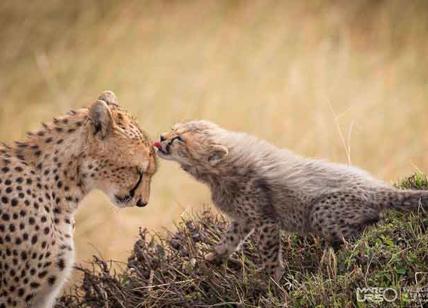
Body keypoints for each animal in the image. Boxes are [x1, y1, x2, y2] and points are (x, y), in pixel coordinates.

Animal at [155, 121, 428, 280]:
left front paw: (269, 282)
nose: (161, 137)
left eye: (179, 138)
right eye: (174, 127)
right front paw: (213, 259)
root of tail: (375, 186)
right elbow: (229, 240)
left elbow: (268, 253)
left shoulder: (265, 220)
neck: (219, 171)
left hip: (322, 211)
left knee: (364, 229)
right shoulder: (244, 219)